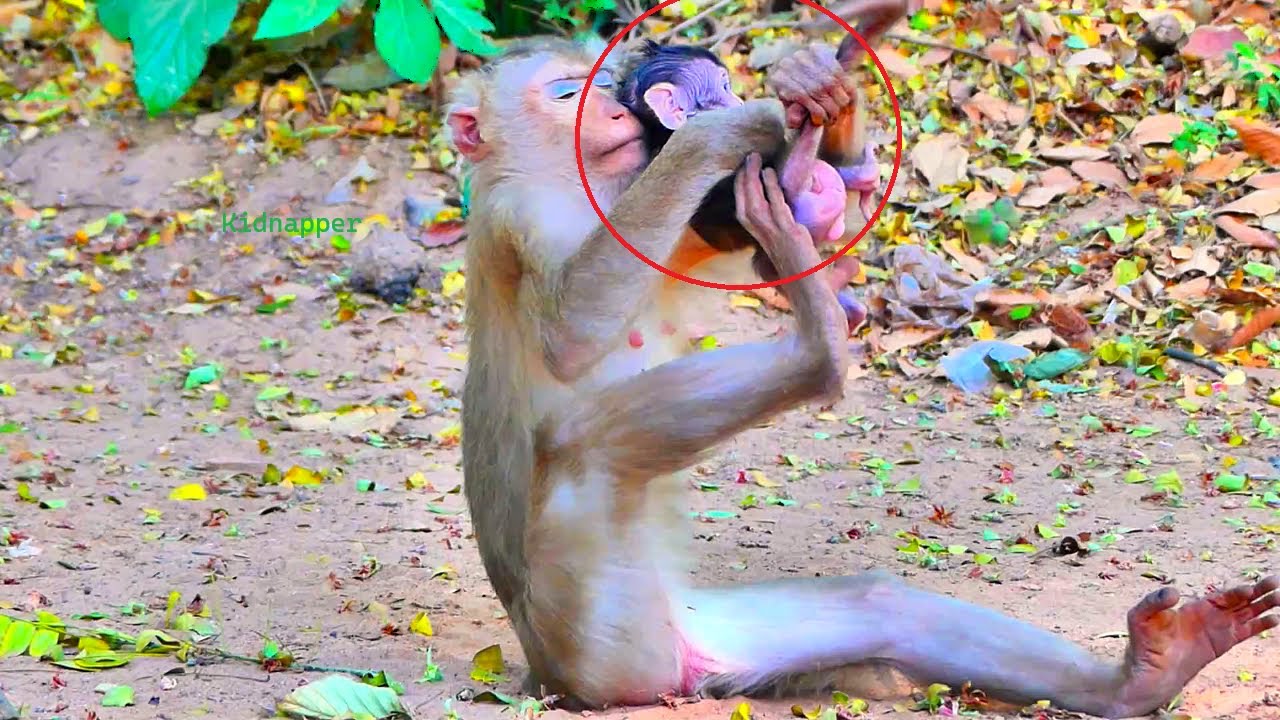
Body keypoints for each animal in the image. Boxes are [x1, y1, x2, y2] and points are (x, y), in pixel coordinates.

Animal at [447, 23, 1278, 720]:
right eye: (566, 94)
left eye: (597, 87)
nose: (615, 118)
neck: (565, 177)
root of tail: (554, 673)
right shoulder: (519, 212)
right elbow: (570, 333)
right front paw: (726, 129)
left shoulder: (632, 192)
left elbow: (722, 234)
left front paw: (822, 97)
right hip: (596, 626)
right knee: (577, 449)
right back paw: (819, 345)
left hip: (690, 632)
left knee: (881, 608)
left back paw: (1147, 673)